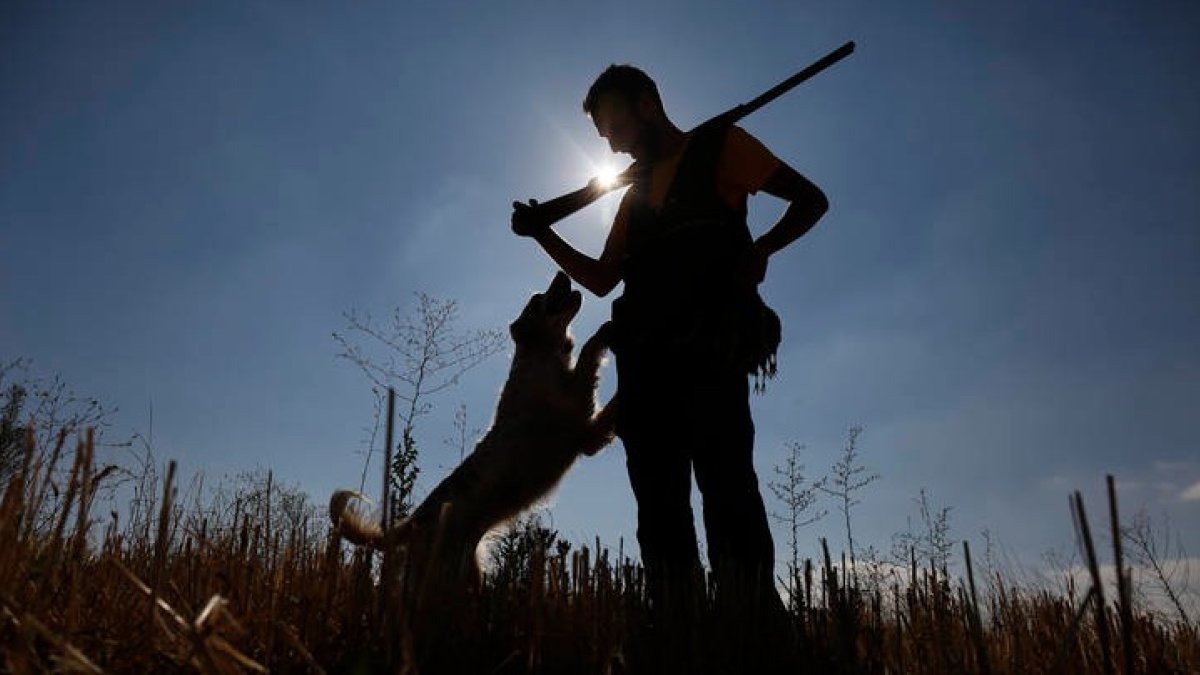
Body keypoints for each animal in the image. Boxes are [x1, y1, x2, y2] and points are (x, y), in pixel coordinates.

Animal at [331, 270, 619, 581]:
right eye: (537, 300)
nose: (561, 272)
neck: (540, 357)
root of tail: (412, 523)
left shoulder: (587, 431)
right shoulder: (582, 425)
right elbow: (591, 355)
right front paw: (606, 332)